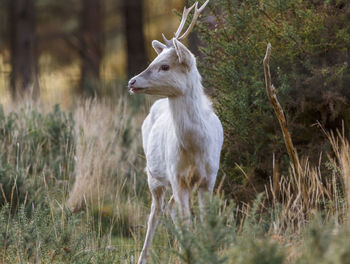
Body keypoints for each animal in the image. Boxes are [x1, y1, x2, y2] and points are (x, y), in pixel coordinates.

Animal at [127, 1, 223, 262]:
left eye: (164, 65)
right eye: (153, 60)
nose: (131, 81)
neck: (194, 147)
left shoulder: (209, 177)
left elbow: (205, 221)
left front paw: (206, 251)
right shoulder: (177, 176)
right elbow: (187, 221)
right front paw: (190, 253)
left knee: (170, 209)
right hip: (154, 176)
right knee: (155, 213)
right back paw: (143, 257)